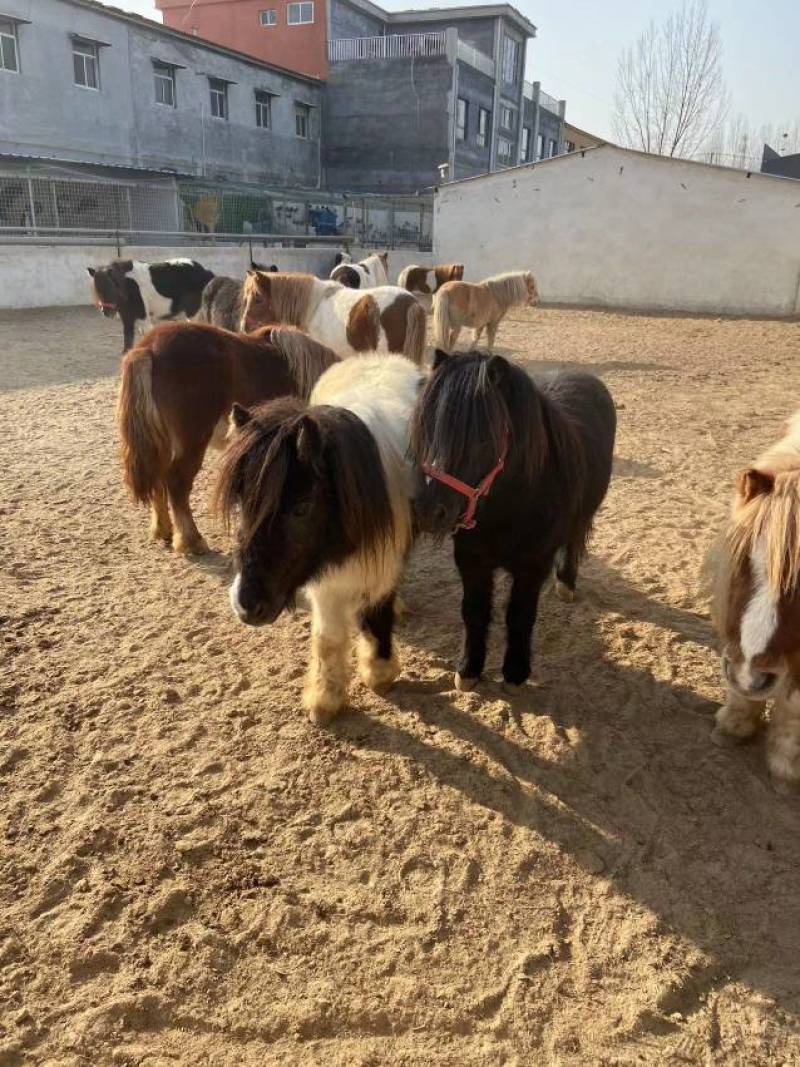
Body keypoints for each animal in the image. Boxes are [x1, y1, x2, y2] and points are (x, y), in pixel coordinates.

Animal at [217, 355, 423, 723]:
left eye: (301, 509)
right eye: (240, 503)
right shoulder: (325, 581)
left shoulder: (381, 564)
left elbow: (377, 612)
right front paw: (326, 698)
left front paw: (379, 672)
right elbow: (328, 639)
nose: (246, 606)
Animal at [410, 348, 616, 693]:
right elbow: (474, 611)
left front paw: (515, 673)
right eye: (427, 426)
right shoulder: (471, 559)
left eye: (482, 438)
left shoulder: (532, 566)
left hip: (584, 513)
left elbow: (520, 616)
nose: (428, 510)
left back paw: (566, 584)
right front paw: (469, 669)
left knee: (574, 540)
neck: (509, 506)